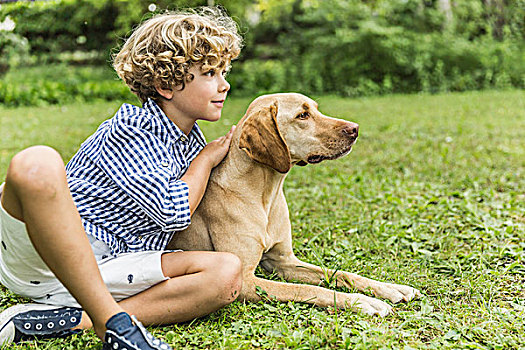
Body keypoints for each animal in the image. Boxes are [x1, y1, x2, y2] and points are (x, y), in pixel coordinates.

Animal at [168, 92, 422, 314]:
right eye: (302, 115)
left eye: (316, 109)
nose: (355, 129)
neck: (266, 193)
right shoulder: (245, 279)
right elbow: (306, 289)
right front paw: (360, 301)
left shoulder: (284, 261)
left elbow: (342, 274)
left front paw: (389, 288)